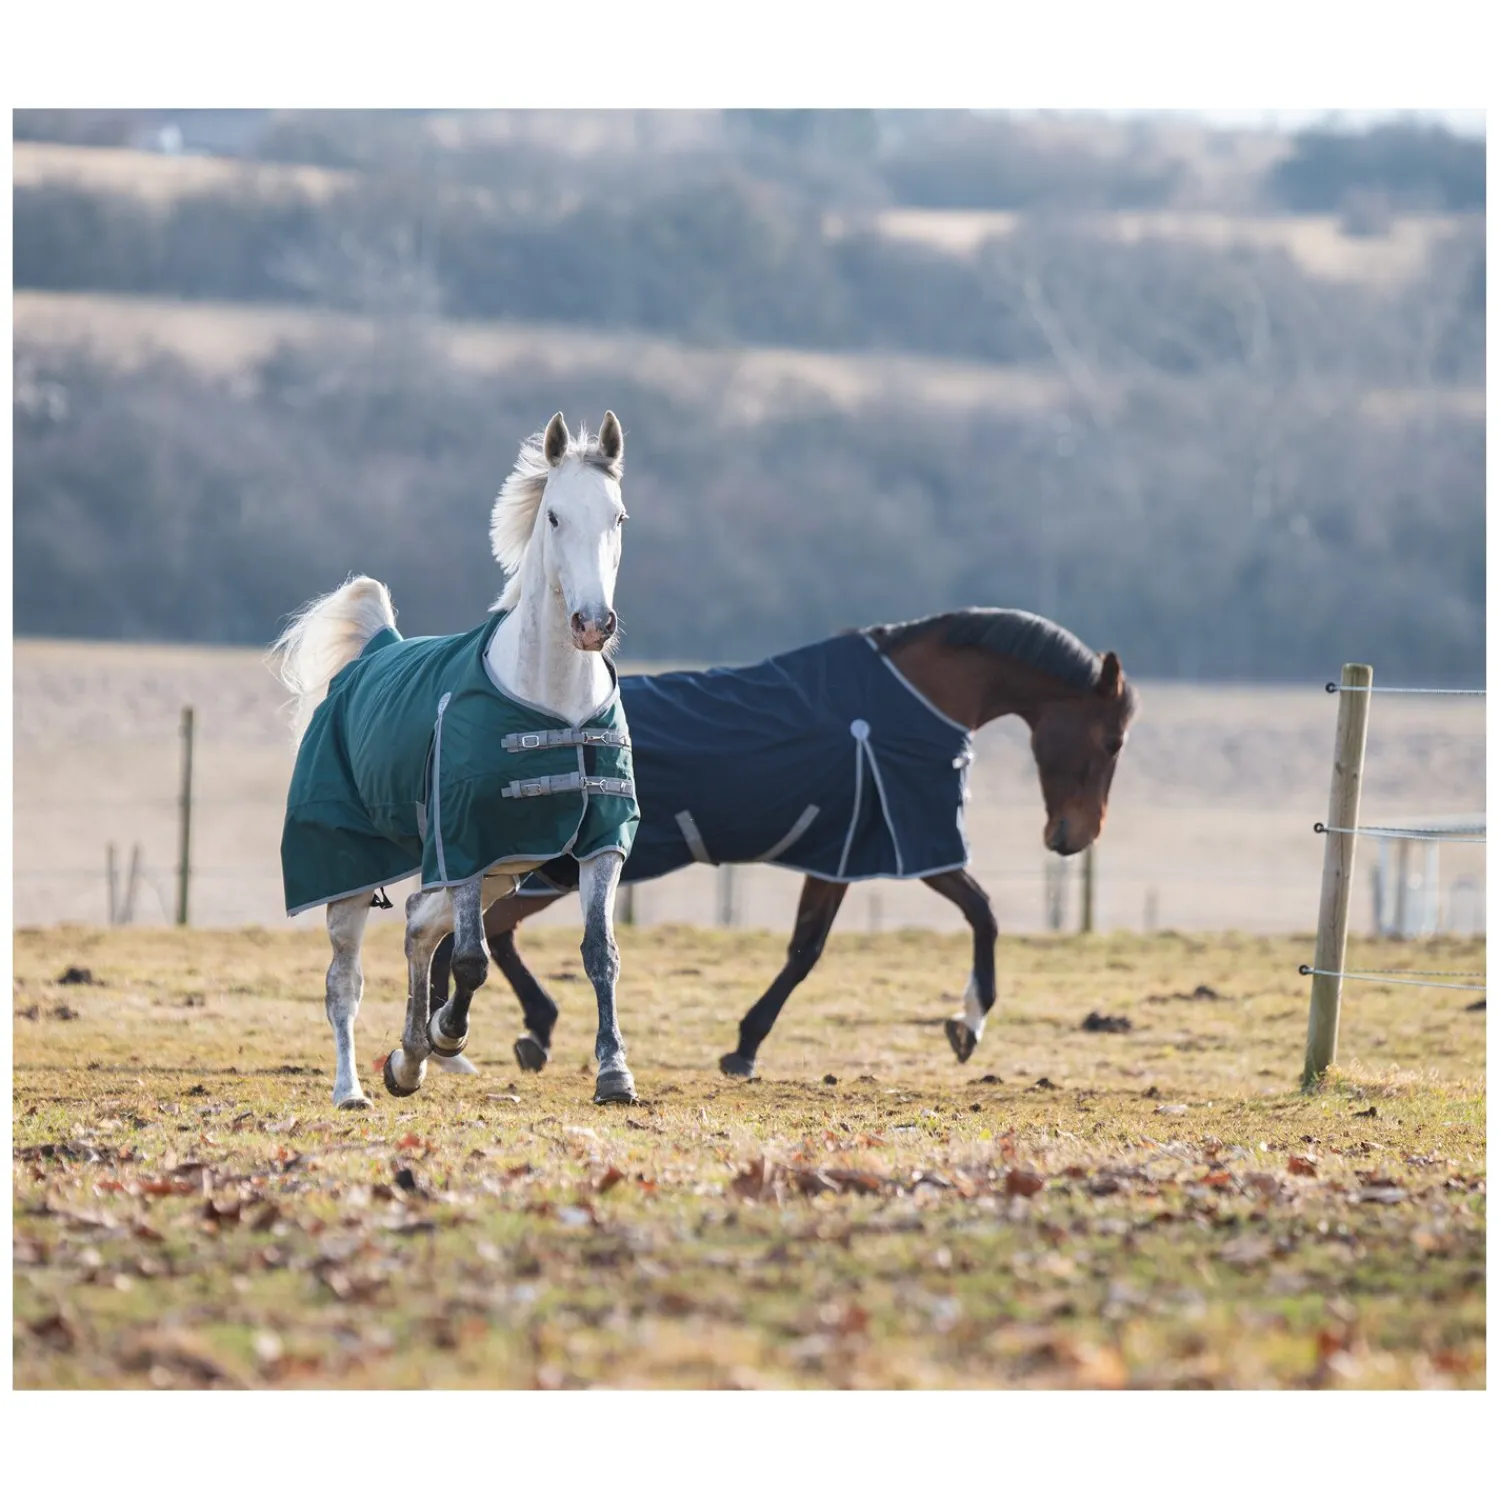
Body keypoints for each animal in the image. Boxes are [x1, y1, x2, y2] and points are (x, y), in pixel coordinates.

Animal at [270, 411, 642, 1108]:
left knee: (420, 922)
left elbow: (600, 953)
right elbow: (471, 960)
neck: (553, 703)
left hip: (505, 868)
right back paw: (354, 1086)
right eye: (554, 516)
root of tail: (373, 652)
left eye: (619, 516)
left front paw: (614, 1075)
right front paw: (448, 1034)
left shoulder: (600, 840)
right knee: (344, 984)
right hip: (349, 872)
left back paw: (407, 1059)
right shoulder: (465, 838)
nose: (592, 624)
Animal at [428, 607, 1139, 1078]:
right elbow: (982, 914)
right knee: (478, 932)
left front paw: (745, 1044)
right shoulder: (907, 841)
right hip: (554, 868)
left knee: (477, 933)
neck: (914, 701)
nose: (1072, 837)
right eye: (1112, 741)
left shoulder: (841, 857)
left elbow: (805, 950)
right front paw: (969, 1023)